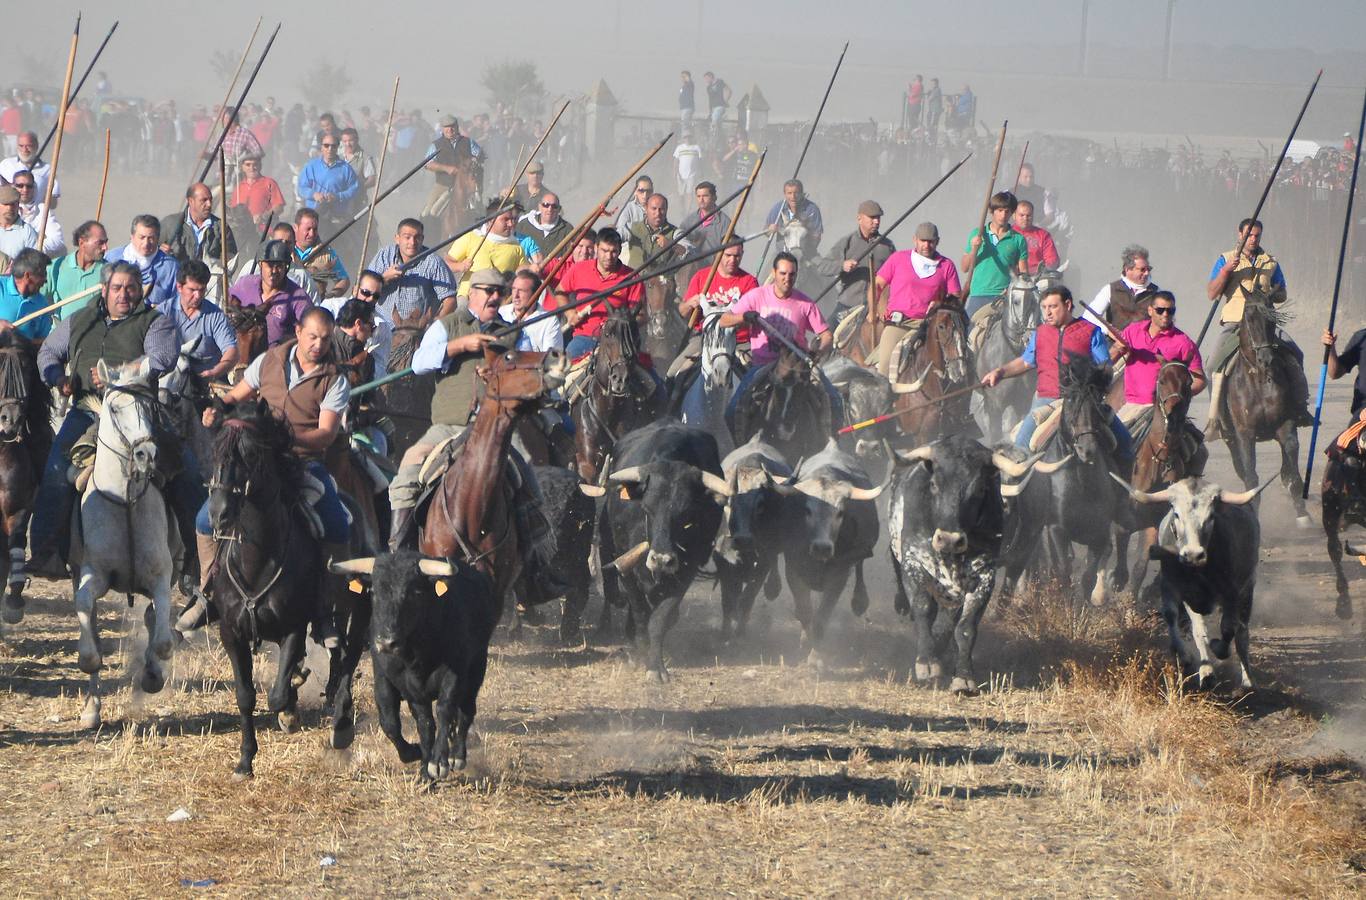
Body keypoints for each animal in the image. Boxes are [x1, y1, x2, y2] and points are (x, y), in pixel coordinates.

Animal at [71, 355, 183, 726]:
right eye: (115, 408)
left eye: (151, 408)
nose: (146, 454)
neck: (125, 501)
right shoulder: (92, 574)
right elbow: (85, 610)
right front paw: (89, 661)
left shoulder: (161, 577)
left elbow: (162, 639)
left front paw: (152, 675)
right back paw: (91, 709)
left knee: (152, 618)